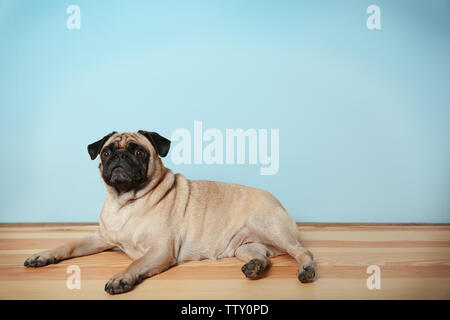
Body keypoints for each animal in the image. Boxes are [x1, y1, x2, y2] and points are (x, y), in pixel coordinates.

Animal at [22, 131, 314, 296]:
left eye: (139, 152)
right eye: (106, 152)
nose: (119, 158)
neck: (125, 202)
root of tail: (277, 201)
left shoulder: (160, 249)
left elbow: (135, 264)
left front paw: (121, 277)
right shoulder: (101, 238)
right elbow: (69, 245)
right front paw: (44, 255)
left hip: (269, 227)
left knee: (303, 252)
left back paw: (307, 270)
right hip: (244, 246)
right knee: (263, 257)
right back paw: (255, 266)